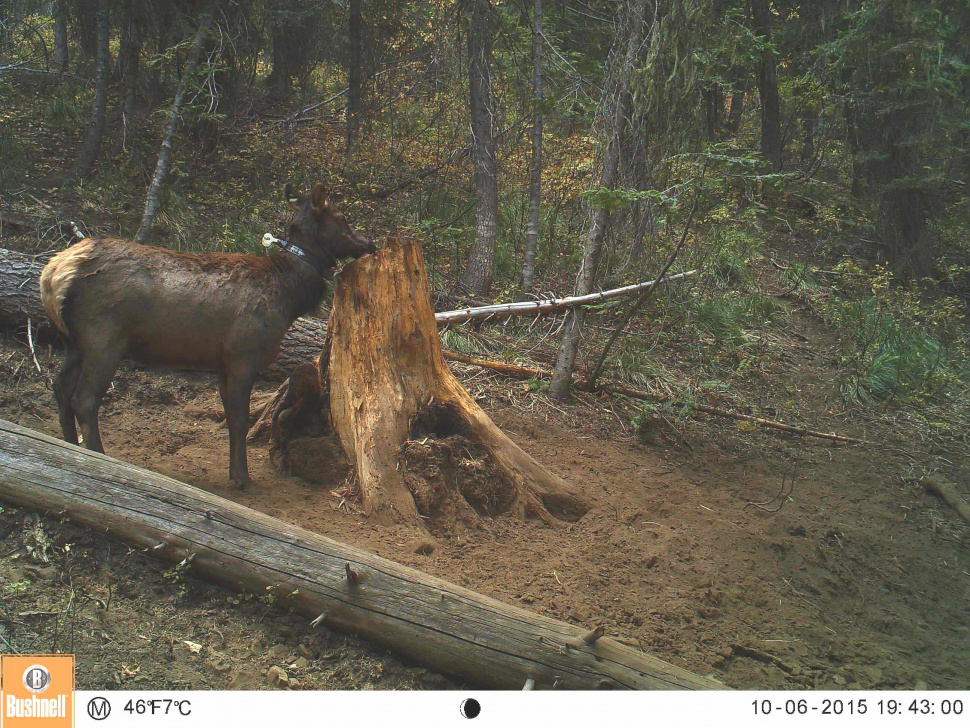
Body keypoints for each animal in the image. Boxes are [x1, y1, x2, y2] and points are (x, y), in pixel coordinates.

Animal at [39, 182, 375, 488]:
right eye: (341, 216)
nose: (369, 242)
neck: (288, 299)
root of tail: (52, 273)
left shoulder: (222, 362)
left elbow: (229, 417)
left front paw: (233, 473)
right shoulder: (243, 354)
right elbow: (239, 419)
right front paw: (242, 478)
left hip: (73, 342)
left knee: (60, 386)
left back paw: (69, 446)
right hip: (104, 338)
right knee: (84, 398)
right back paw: (98, 456)